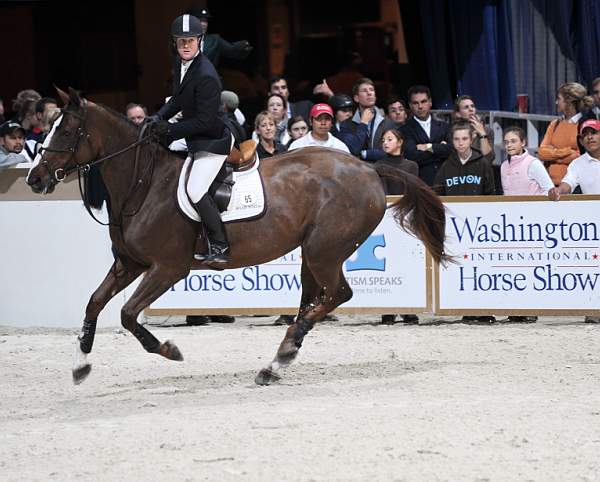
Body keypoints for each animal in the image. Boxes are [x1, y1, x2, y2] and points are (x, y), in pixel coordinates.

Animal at [28, 88, 450, 386]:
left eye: (66, 129)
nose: (34, 178)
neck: (143, 184)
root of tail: (367, 168)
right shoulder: (129, 263)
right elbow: (94, 303)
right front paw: (80, 366)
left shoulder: (167, 268)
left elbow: (128, 314)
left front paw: (168, 349)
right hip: (312, 253)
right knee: (312, 302)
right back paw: (277, 362)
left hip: (325, 250)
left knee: (337, 295)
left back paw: (277, 361)